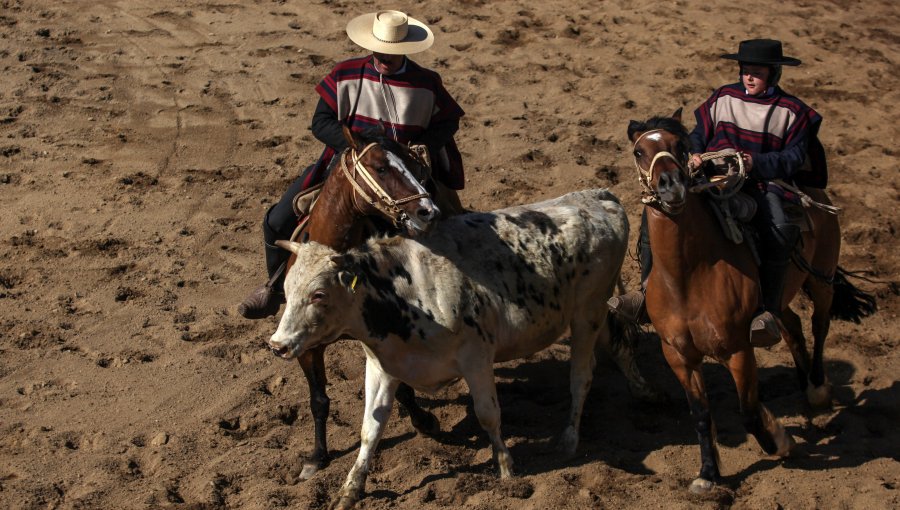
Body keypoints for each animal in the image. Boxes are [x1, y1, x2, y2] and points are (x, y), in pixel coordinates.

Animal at [270, 188, 628, 510]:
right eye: (287, 289)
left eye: (318, 294)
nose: (277, 344)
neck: (405, 292)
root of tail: (600, 196)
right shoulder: (381, 367)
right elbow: (370, 428)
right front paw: (349, 491)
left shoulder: (476, 358)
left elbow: (488, 415)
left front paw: (506, 470)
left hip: (587, 313)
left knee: (581, 377)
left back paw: (568, 440)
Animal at [286, 125, 464, 480]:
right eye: (381, 168)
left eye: (410, 162)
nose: (428, 212)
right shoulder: (306, 345)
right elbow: (318, 399)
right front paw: (316, 456)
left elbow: (403, 387)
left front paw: (424, 421)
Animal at [628, 110, 876, 490]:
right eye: (639, 151)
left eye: (680, 146)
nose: (670, 185)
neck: (689, 275)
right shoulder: (679, 356)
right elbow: (700, 415)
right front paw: (708, 475)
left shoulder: (738, 351)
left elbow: (747, 413)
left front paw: (782, 441)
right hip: (781, 297)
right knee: (791, 326)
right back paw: (803, 378)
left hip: (821, 278)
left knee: (819, 324)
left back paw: (817, 387)